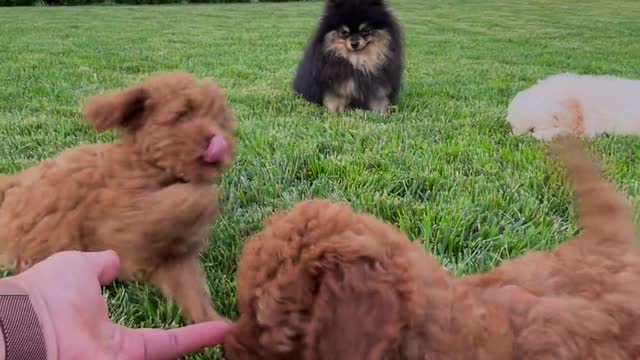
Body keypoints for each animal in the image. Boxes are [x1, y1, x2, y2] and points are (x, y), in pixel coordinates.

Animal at [0, 71, 235, 324]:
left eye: (220, 122)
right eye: (182, 115)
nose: (219, 142)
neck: (150, 166)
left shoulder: (170, 260)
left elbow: (190, 288)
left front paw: (215, 322)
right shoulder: (121, 227)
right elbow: (175, 204)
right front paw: (206, 197)